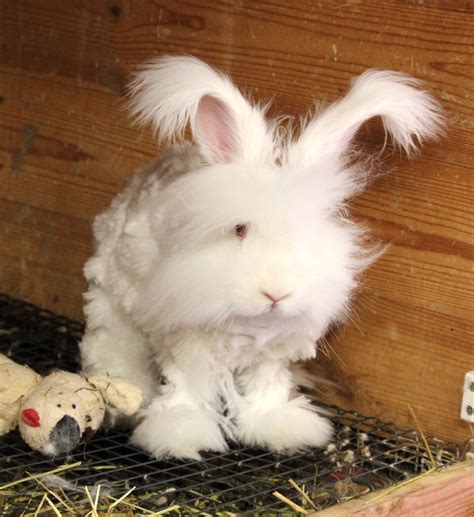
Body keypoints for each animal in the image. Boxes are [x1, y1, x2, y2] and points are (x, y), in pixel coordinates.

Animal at [80, 57, 440, 460]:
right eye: (239, 229)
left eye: (307, 233)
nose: (277, 294)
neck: (252, 322)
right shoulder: (186, 344)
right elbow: (187, 389)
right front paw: (181, 435)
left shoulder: (274, 353)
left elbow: (267, 389)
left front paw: (281, 428)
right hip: (111, 298)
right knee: (112, 345)